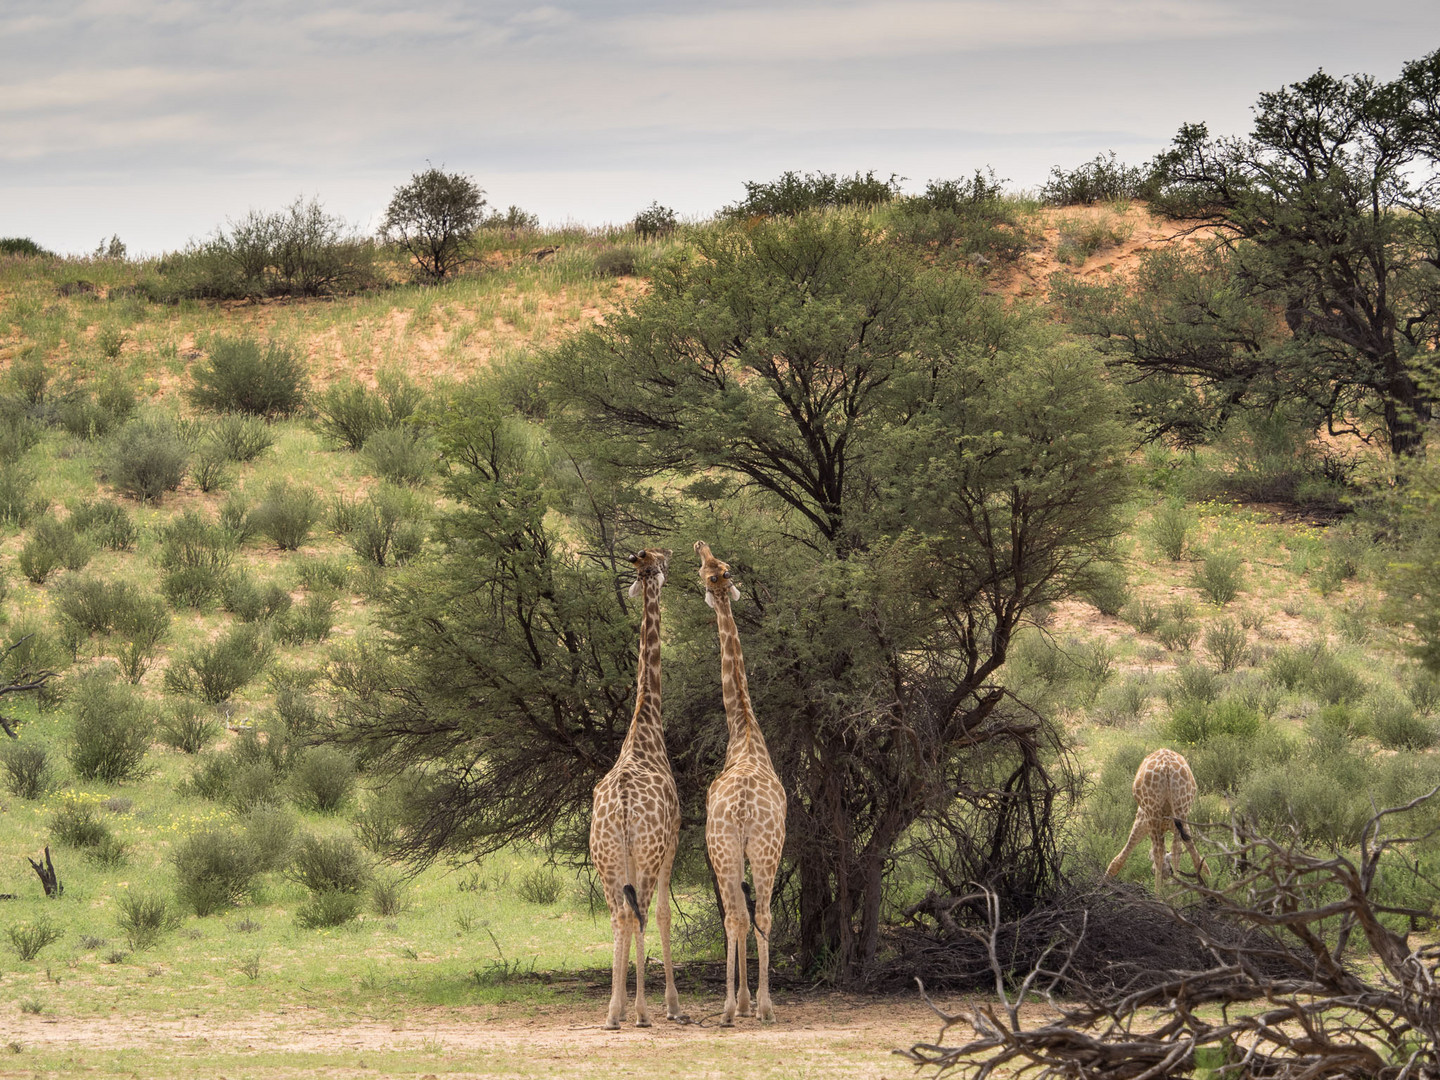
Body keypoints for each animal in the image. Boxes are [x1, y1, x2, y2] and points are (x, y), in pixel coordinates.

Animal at [1105, 754, 1209, 898]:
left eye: (1152, 872)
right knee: (1176, 849)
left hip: (1152, 812)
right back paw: (1176, 894)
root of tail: (1167, 767)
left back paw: (1158, 895)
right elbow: (1197, 858)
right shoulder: (1182, 825)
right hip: (1181, 808)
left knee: (1159, 852)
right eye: (1169, 870)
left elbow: (1119, 859)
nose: (1166, 876)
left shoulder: (1142, 821)